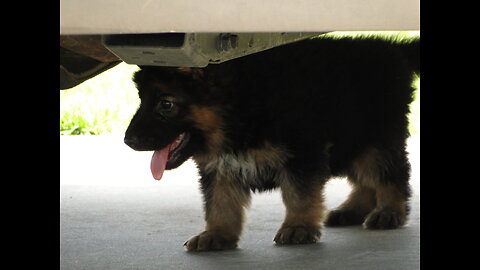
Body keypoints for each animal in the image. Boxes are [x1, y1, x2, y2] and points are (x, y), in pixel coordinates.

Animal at [124, 34, 420, 252]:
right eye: (142, 100)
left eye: (166, 105)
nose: (128, 141)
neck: (237, 107)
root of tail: (392, 47)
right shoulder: (219, 167)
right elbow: (219, 202)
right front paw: (216, 234)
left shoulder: (302, 151)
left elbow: (299, 195)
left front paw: (298, 226)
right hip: (350, 141)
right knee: (366, 179)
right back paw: (351, 211)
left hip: (376, 136)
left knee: (390, 173)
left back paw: (389, 212)